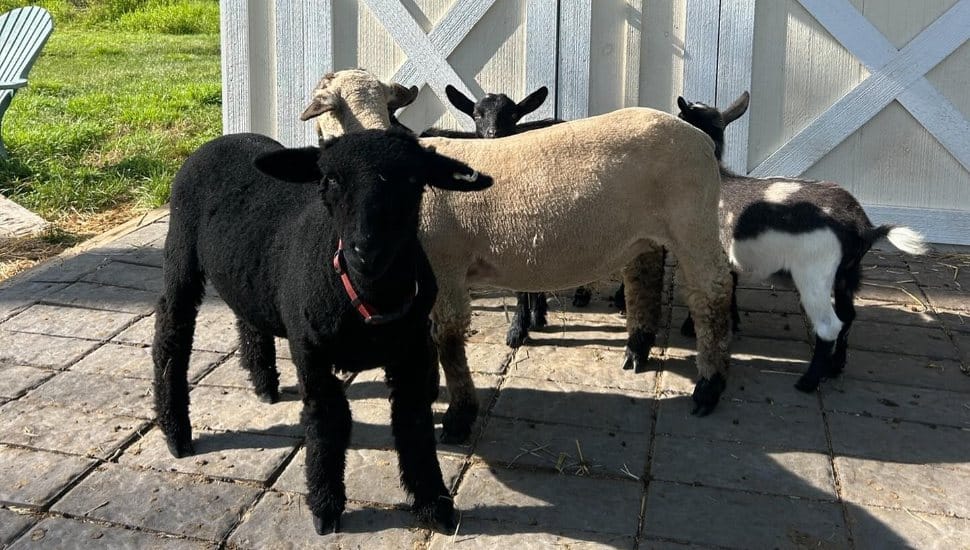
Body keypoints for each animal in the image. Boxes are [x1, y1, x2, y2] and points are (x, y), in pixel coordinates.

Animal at [152, 129, 492, 534]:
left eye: (414, 180)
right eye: (329, 179)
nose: (367, 252)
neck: (368, 296)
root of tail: (225, 138)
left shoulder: (412, 351)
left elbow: (413, 423)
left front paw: (434, 505)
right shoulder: (310, 352)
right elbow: (328, 421)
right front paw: (325, 508)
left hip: (249, 275)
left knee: (248, 315)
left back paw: (263, 384)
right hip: (180, 252)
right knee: (172, 333)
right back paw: (176, 433)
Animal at [676, 92, 928, 392]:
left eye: (680, 116)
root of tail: (863, 227)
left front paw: (689, 327)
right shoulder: (728, 258)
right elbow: (731, 289)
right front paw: (734, 323)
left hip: (814, 275)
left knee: (829, 325)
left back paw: (808, 381)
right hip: (847, 275)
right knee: (847, 317)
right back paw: (835, 367)